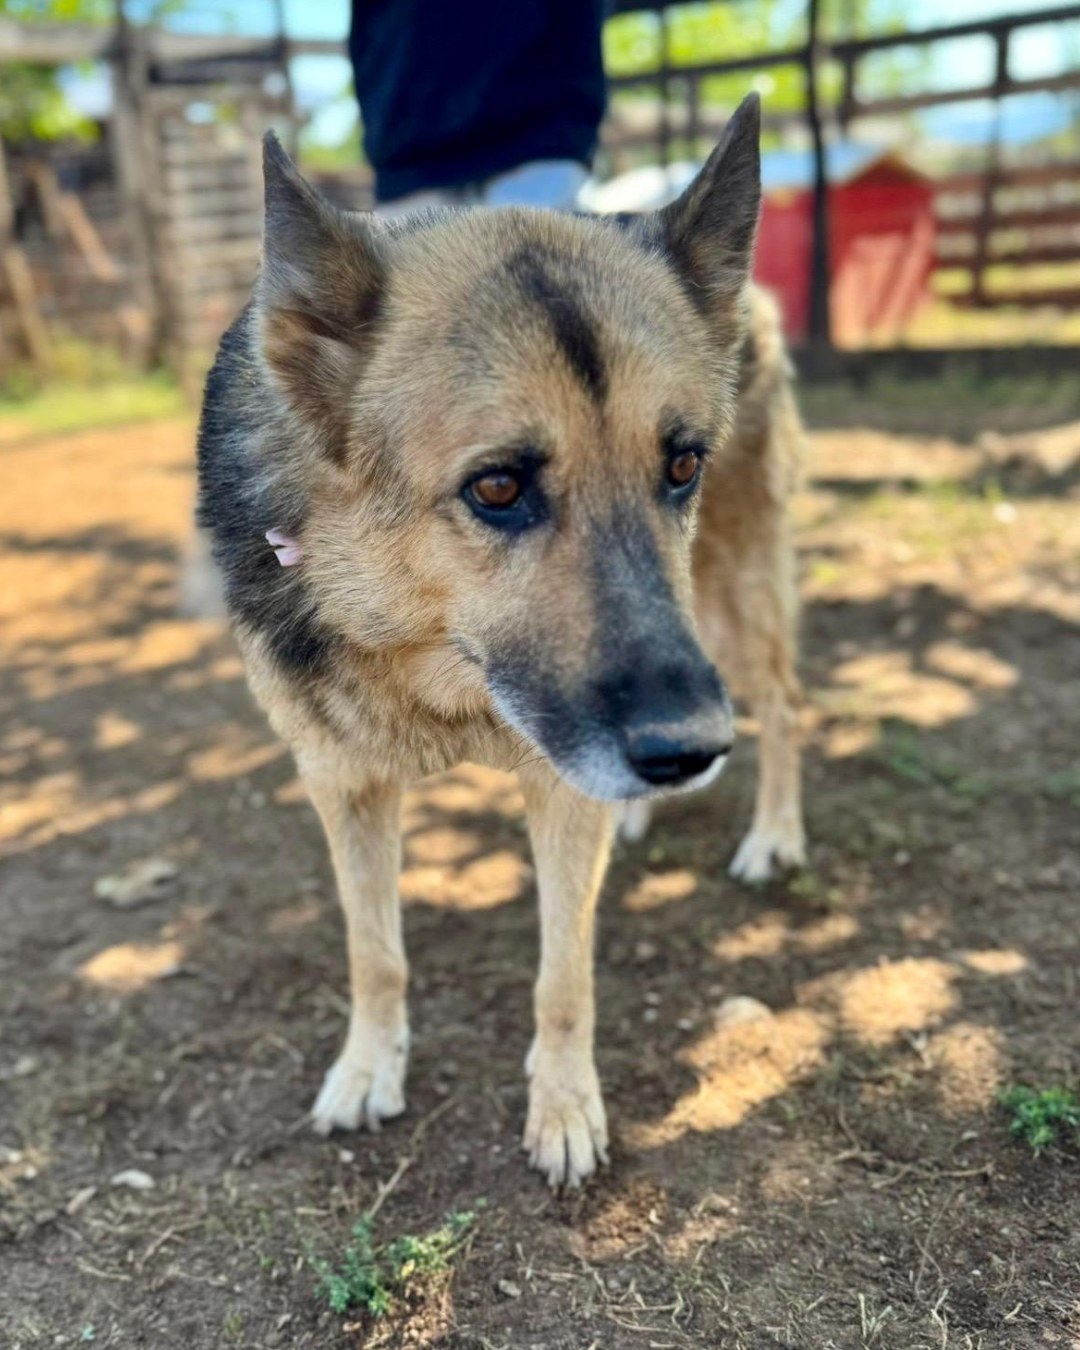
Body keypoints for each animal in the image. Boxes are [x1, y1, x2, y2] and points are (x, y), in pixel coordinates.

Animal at [195, 93, 805, 1187]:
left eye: (682, 464)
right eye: (496, 487)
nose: (689, 750)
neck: (426, 655)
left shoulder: (560, 784)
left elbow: (563, 978)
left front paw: (563, 1110)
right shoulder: (343, 787)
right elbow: (374, 953)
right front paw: (368, 1068)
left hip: (733, 597)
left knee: (783, 704)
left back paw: (773, 834)